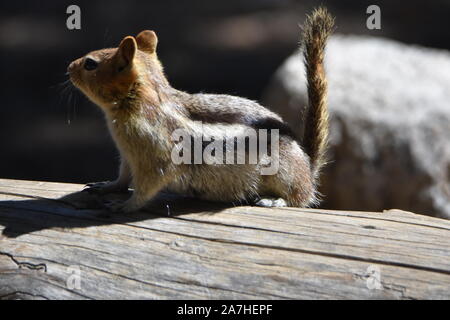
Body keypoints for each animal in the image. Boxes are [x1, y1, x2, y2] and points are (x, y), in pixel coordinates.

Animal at [67, 7, 334, 212]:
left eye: (90, 64)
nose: (69, 66)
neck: (143, 103)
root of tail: (308, 165)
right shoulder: (128, 155)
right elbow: (123, 176)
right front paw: (108, 187)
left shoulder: (157, 157)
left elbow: (148, 186)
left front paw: (126, 206)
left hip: (284, 173)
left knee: (299, 198)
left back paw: (274, 200)